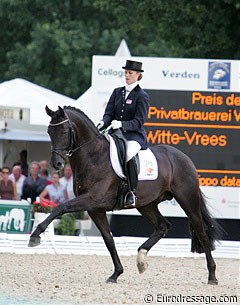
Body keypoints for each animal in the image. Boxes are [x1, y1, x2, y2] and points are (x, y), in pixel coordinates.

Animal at [28, 105, 223, 284]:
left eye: (64, 131)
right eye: (49, 131)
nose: (57, 164)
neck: (93, 157)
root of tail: (185, 158)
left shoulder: (91, 199)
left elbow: (60, 207)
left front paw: (35, 235)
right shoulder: (95, 209)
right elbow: (109, 240)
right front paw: (116, 274)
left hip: (188, 201)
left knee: (202, 233)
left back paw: (212, 276)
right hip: (147, 205)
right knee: (163, 226)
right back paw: (141, 260)